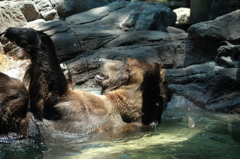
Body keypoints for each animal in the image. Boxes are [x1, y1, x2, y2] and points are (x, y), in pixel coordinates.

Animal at [3, 27, 169, 138]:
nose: (100, 59)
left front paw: (20, 33)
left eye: (124, 61)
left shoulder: (80, 112)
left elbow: (51, 88)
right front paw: (65, 69)